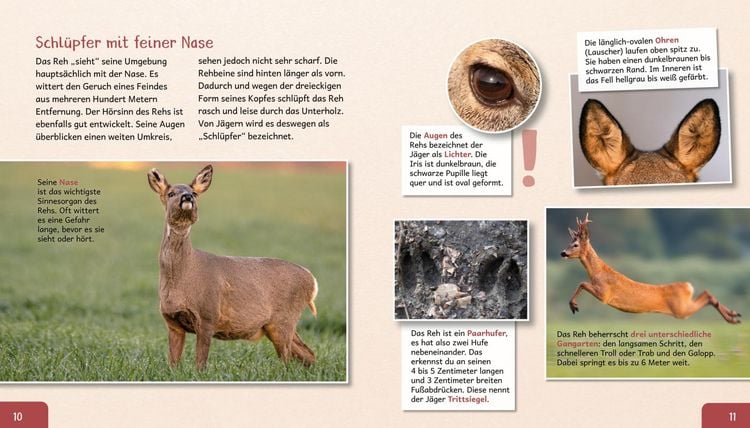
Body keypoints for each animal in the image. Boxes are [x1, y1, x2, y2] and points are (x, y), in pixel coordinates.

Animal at [147, 164, 318, 370]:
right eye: (171, 193)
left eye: (195, 193)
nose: (187, 197)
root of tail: (311, 280)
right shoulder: (172, 322)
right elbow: (173, 363)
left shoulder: (208, 315)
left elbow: (201, 362)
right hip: (276, 325)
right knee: (308, 353)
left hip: (284, 319)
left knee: (288, 358)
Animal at [560, 213, 740, 324]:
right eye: (569, 242)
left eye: (575, 245)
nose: (563, 253)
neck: (598, 272)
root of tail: (688, 286)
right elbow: (582, 283)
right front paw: (573, 305)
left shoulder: (604, 294)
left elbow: (582, 283)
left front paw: (573, 306)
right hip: (683, 306)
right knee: (707, 293)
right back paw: (734, 315)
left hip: (680, 310)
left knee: (707, 296)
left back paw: (733, 317)